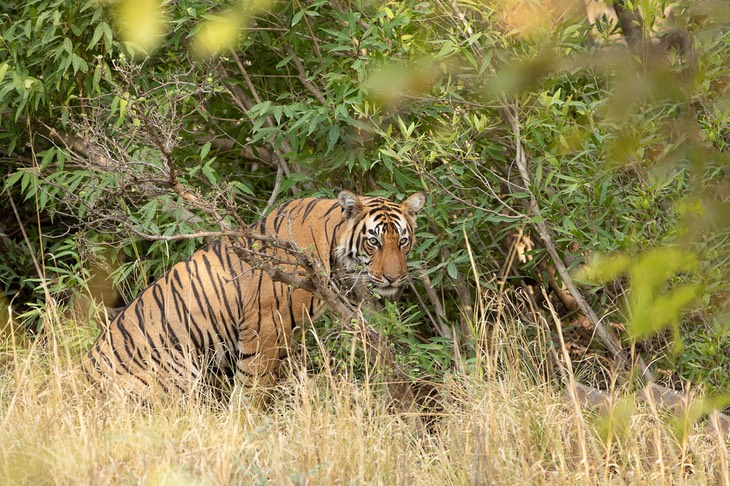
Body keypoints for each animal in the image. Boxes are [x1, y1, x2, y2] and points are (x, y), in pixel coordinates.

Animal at [82, 190, 424, 394]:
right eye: (374, 242)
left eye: (403, 241)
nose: (394, 278)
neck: (332, 249)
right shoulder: (265, 328)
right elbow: (253, 387)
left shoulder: (291, 334)